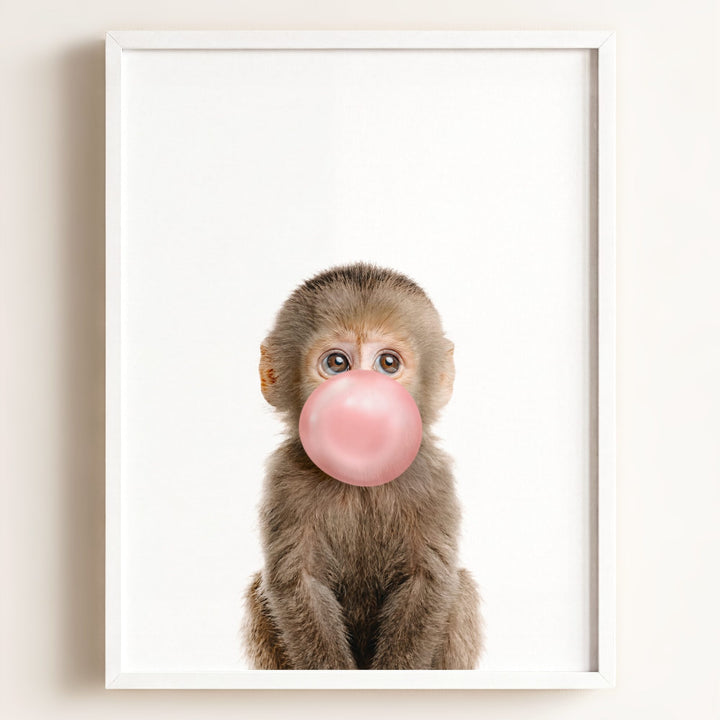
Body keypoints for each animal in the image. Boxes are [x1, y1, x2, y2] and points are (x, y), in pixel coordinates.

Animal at [243, 263, 482, 670]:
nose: (362, 398)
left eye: (388, 363)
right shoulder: (285, 478)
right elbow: (298, 581)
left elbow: (428, 580)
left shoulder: (432, 477)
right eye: (337, 363)